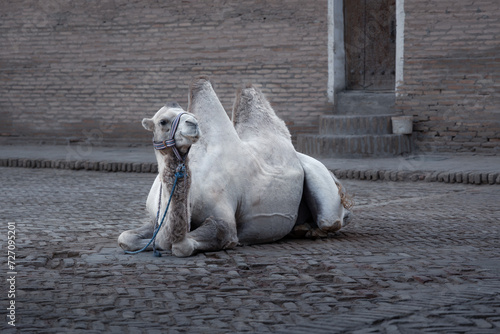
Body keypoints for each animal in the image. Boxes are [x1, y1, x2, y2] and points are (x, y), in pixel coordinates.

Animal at [118, 77, 352, 256]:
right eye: (163, 121)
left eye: (192, 116)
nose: (193, 125)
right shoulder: (155, 219)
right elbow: (125, 237)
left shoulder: (224, 221)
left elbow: (183, 245)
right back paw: (300, 228)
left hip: (323, 187)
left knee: (331, 220)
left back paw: (311, 230)